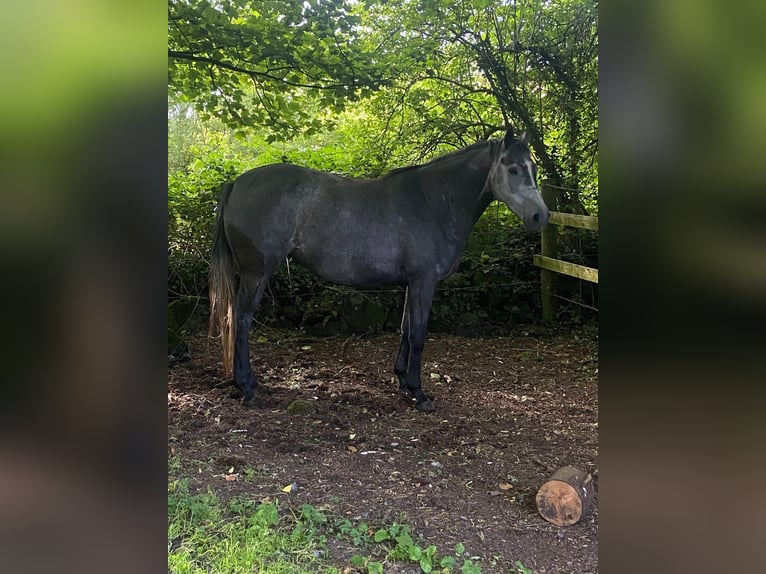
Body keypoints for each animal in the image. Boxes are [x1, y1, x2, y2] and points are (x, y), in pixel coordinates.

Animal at [209, 128, 549, 411]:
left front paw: (403, 382)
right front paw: (420, 394)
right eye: (513, 168)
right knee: (241, 320)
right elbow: (419, 335)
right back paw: (247, 387)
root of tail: (237, 183)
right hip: (256, 274)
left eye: (533, 168)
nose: (540, 217)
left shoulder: (412, 283)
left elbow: (405, 330)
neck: (433, 201)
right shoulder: (424, 281)